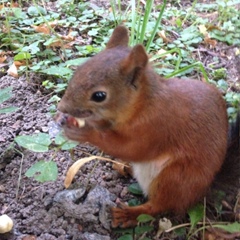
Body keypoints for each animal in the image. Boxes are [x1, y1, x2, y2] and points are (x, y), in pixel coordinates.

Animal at [56, 25, 231, 228]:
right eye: (78, 71)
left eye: (99, 96)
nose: (61, 107)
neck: (143, 104)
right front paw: (64, 118)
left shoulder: (156, 127)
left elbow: (131, 148)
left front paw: (84, 131)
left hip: (175, 178)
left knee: (158, 205)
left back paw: (128, 214)